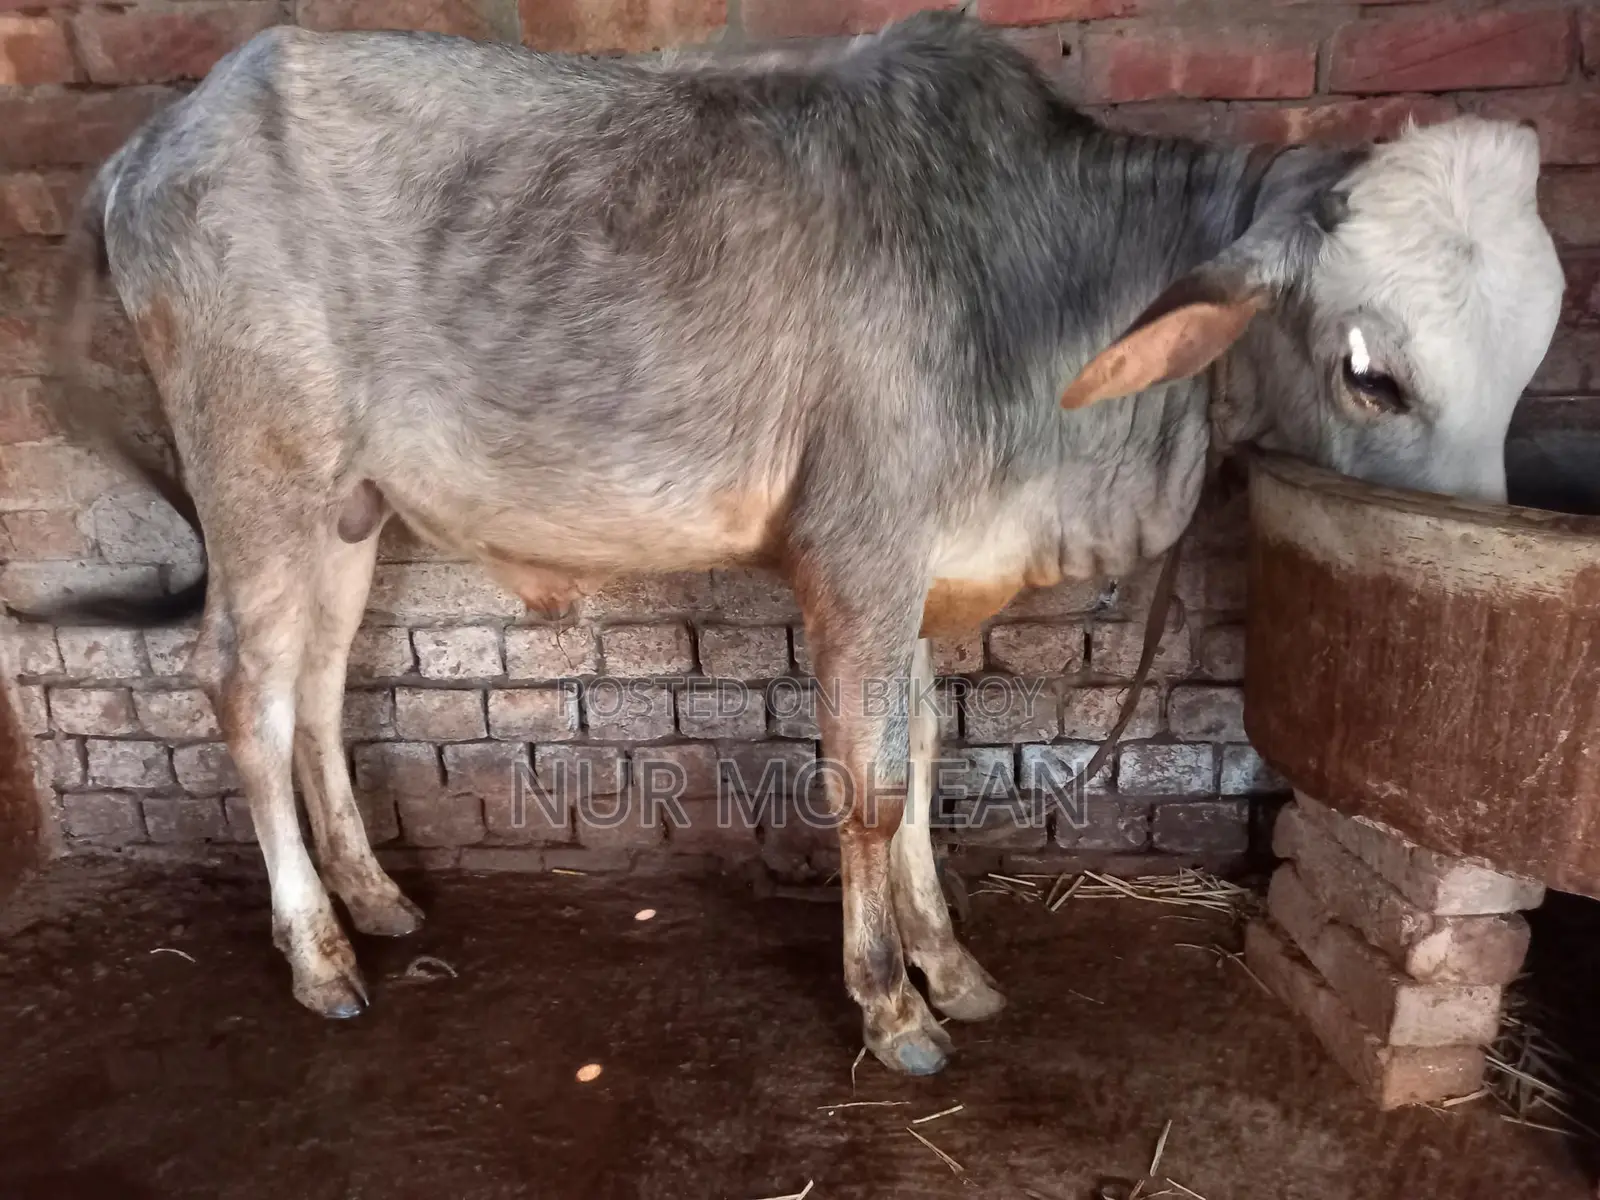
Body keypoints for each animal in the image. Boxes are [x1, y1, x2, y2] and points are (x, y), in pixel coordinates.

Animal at [24, 11, 1563, 1077]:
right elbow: (870, 786)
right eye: (1371, 373)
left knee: (318, 691)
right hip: (259, 483)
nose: (1477, 526)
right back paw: (318, 953)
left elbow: (928, 761)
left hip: (348, 511)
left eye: (1531, 354)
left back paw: (376, 898)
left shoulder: (929, 577)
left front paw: (953, 964)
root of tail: (155, 143)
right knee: (243, 690)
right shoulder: (859, 558)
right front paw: (890, 1005)